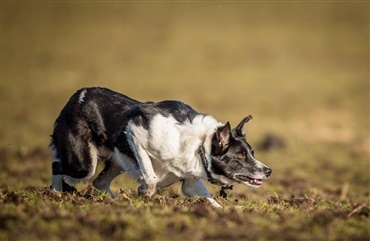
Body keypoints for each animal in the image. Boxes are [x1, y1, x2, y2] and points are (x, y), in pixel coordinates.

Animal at [50, 86, 272, 207]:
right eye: (240, 156)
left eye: (252, 152)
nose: (268, 171)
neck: (200, 145)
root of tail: (77, 96)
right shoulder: (135, 132)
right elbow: (151, 176)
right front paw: (145, 193)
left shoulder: (190, 183)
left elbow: (211, 201)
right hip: (83, 164)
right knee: (57, 166)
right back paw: (54, 194)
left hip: (117, 162)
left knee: (99, 182)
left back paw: (116, 202)